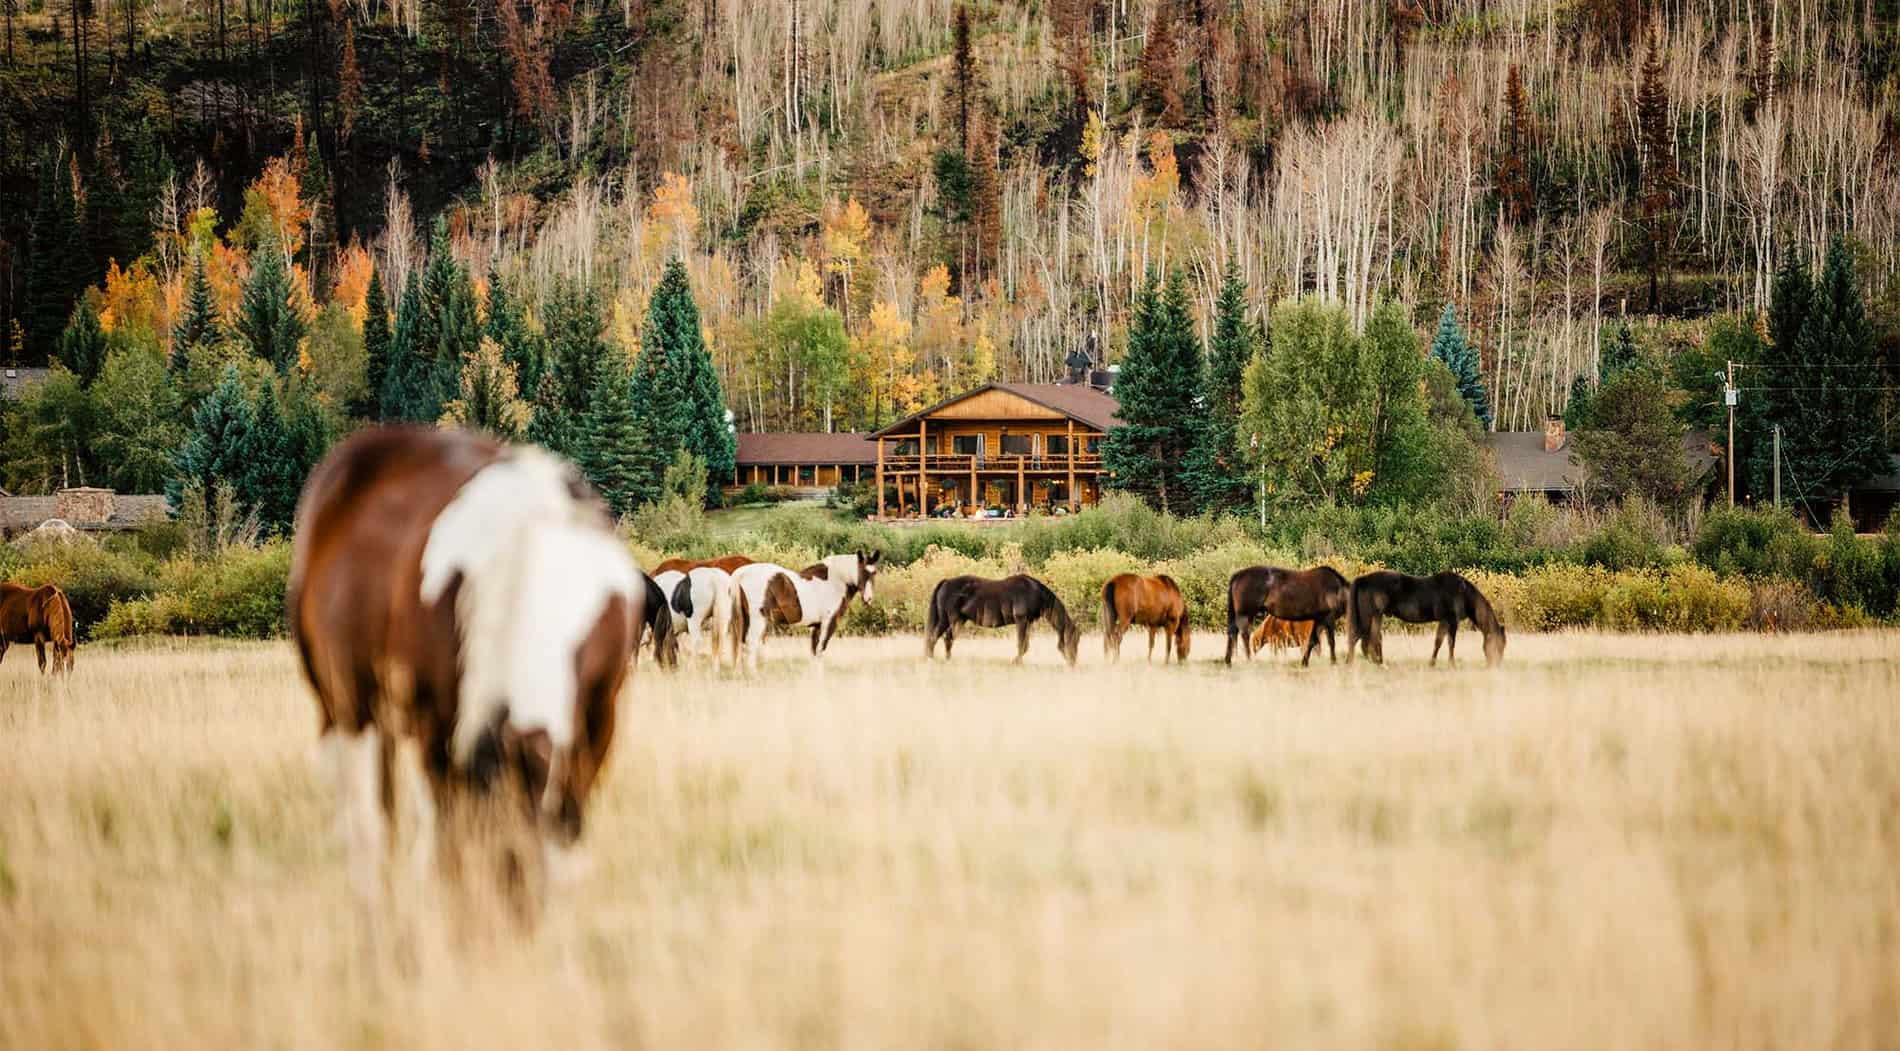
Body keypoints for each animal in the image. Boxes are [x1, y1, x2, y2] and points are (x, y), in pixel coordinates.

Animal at [281, 421, 638, 904]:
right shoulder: (440, 728)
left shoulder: (598, 724)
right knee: (367, 821)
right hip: (346, 707)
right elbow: (444, 841)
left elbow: (566, 828)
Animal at [725, 554, 881, 668]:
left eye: (874, 573)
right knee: (750, 646)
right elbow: (820, 650)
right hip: (758, 622)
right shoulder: (828, 623)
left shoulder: (817, 626)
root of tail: (741, 573)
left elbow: (814, 651)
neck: (835, 581)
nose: (868, 599)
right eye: (861, 572)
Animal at [923, 573, 1079, 665]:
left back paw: (948, 660)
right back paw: (931, 659)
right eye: (1074, 640)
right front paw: (1016, 662)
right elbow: (1021, 645)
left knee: (947, 639)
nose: (1073, 664)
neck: (1034, 592)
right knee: (934, 637)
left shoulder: (1027, 623)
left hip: (959, 620)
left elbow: (1025, 645)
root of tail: (946, 582)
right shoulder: (1021, 621)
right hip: (948, 620)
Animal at [1223, 566, 1360, 665]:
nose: (1349, 660)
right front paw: (1334, 662)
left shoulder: (1319, 620)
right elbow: (1331, 641)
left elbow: (1312, 641)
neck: (1337, 590)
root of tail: (1238, 575)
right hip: (1246, 614)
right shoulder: (1328, 619)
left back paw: (1228, 661)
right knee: (1244, 635)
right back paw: (1249, 660)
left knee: (1232, 632)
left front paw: (1304, 662)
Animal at [1345, 570, 1504, 668]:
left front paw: (1432, 663)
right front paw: (1452, 665)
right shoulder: (1452, 621)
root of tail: (1363, 579)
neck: (1463, 592)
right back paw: (1351, 664)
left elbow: (1438, 642)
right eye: (1500, 645)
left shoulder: (1444, 621)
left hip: (1375, 616)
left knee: (1372, 639)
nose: (1496, 665)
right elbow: (1451, 643)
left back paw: (1379, 663)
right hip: (1367, 617)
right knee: (1356, 638)